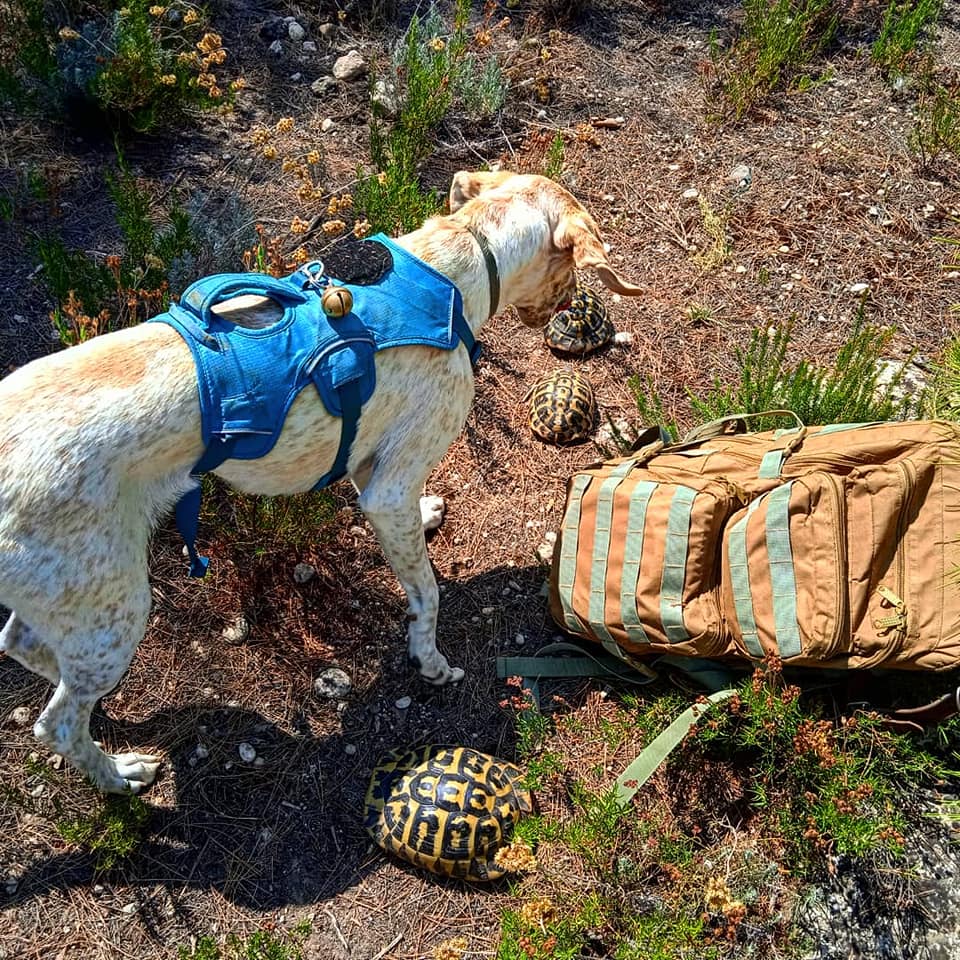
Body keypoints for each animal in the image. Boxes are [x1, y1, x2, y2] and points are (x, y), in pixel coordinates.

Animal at [0, 169, 644, 792]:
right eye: (570, 273)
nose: (573, 302)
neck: (455, 263)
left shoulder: (373, 471)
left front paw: (428, 517)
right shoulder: (392, 487)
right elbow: (428, 593)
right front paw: (430, 659)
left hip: (78, 601)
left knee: (26, 649)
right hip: (118, 604)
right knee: (55, 724)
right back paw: (118, 775)